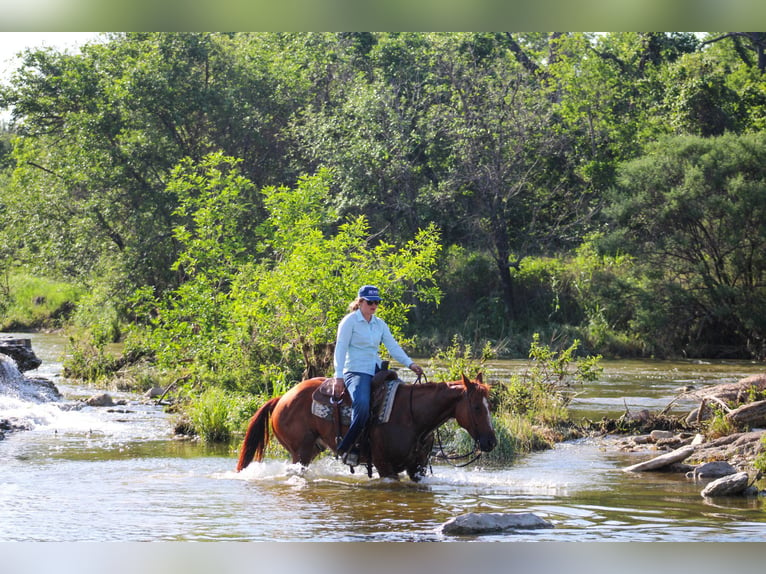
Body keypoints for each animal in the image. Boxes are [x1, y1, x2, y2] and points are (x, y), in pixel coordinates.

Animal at [237, 374, 498, 482]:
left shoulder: (418, 468)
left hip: (311, 450)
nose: (491, 442)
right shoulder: (385, 466)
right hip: (299, 451)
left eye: (490, 406)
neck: (413, 417)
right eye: (476, 407)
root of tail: (282, 398)